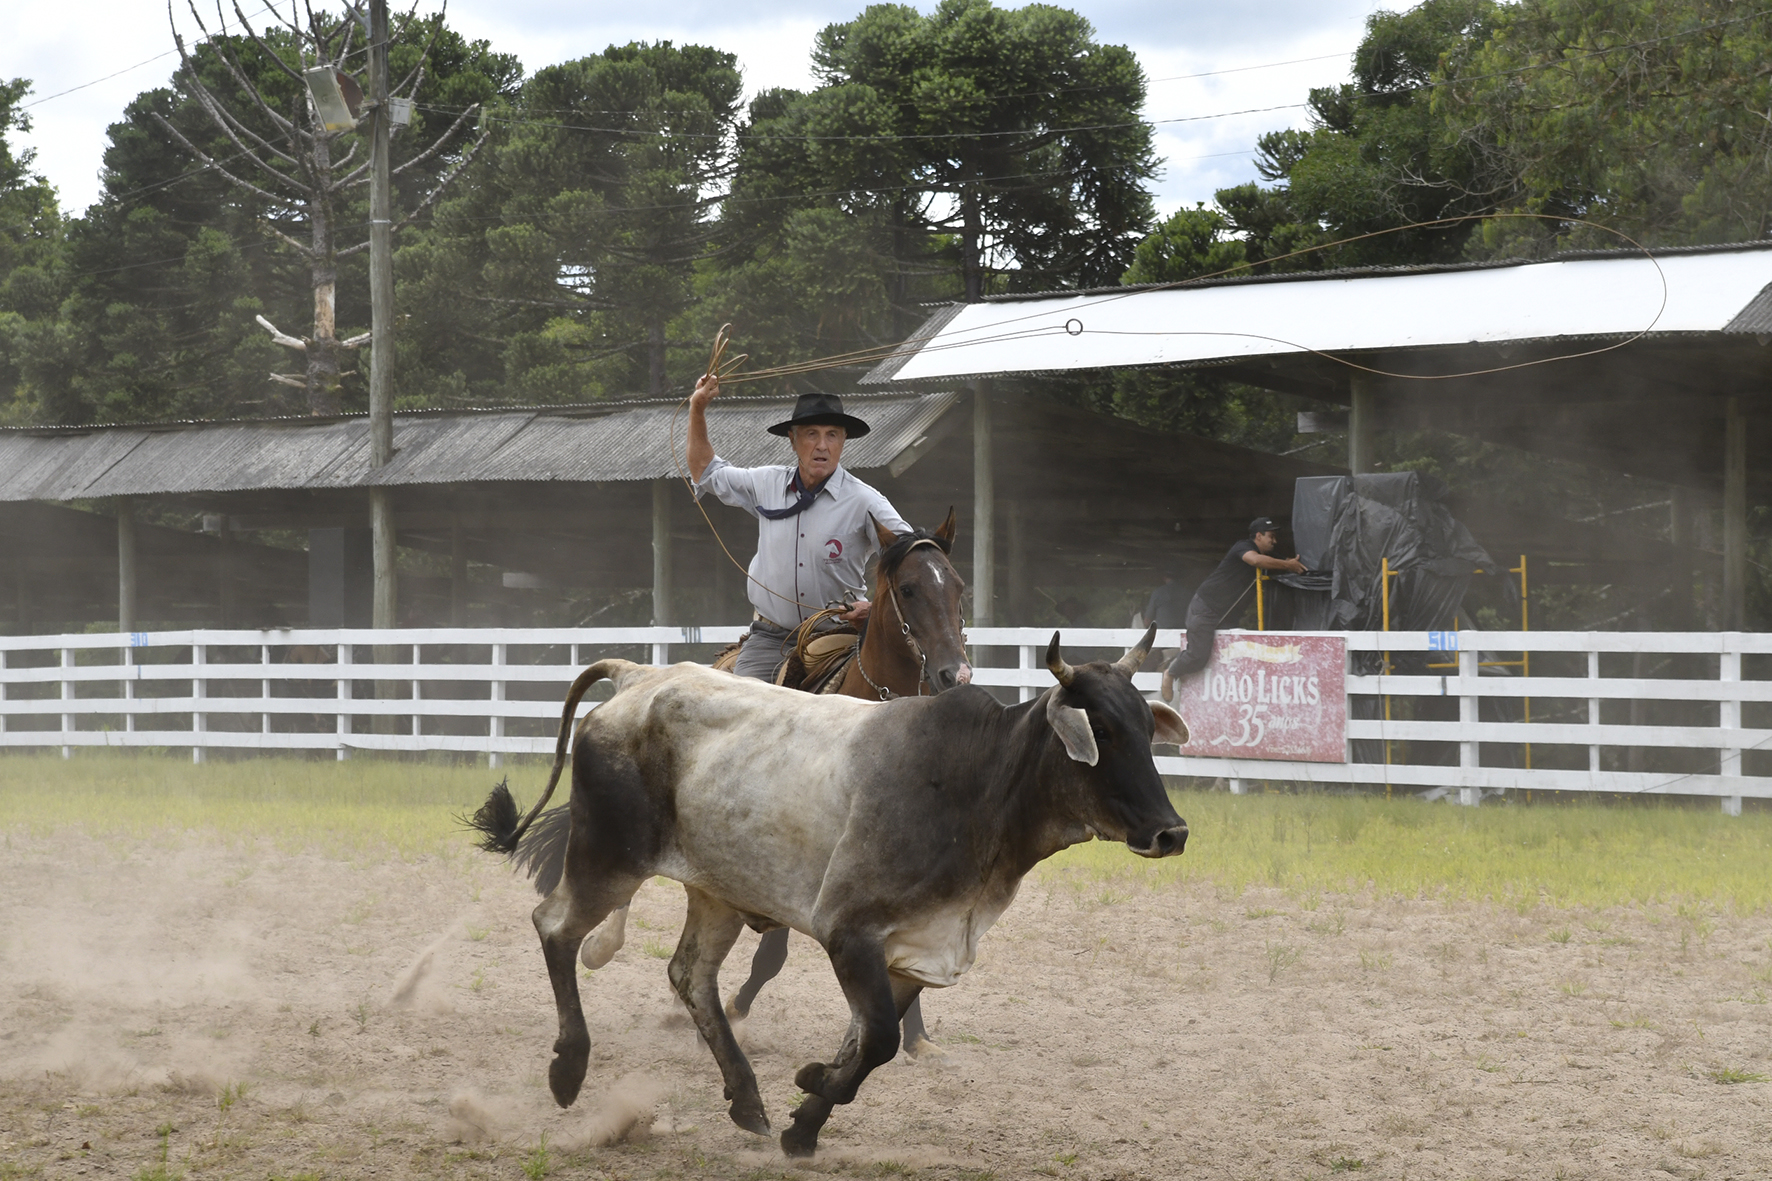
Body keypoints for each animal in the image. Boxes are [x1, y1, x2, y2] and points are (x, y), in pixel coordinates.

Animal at [469, 625, 1188, 1159]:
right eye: (1104, 734)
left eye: (1145, 730)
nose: (1172, 831)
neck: (982, 783)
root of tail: (637, 677)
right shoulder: (850, 932)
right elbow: (878, 1041)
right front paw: (811, 1088)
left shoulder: (917, 952)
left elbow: (867, 1045)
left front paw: (802, 1123)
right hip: (607, 857)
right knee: (556, 927)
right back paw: (568, 1069)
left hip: (716, 890)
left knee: (690, 974)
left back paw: (748, 1100)